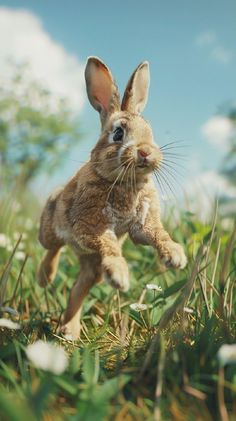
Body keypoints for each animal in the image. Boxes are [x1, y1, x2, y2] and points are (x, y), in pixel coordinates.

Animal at [37, 56, 187, 338]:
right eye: (118, 133)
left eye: (150, 130)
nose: (145, 152)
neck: (128, 182)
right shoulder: (90, 225)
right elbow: (108, 244)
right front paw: (119, 274)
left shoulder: (143, 226)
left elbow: (157, 234)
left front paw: (175, 256)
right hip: (51, 228)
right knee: (53, 248)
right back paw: (45, 278)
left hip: (92, 265)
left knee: (80, 286)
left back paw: (69, 330)